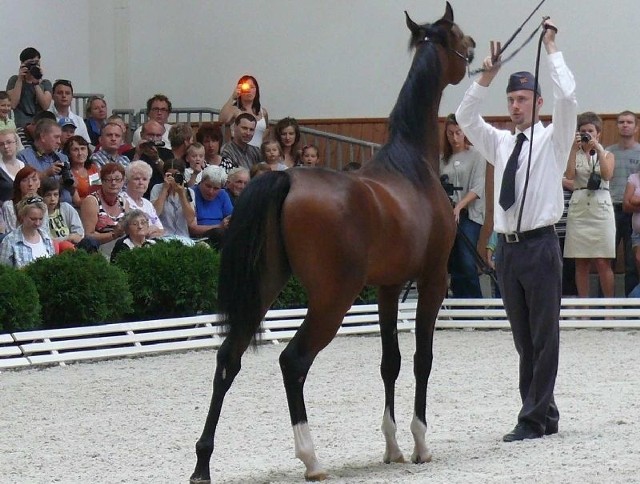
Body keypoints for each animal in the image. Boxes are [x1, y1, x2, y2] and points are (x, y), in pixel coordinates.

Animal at [188, 2, 472, 480]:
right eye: (456, 35)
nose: (472, 50)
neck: (410, 165)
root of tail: (285, 177)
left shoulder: (388, 287)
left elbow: (390, 362)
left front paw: (392, 446)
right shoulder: (433, 279)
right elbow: (422, 359)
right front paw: (419, 444)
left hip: (264, 287)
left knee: (228, 359)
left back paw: (202, 463)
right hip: (332, 299)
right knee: (293, 362)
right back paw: (312, 459)